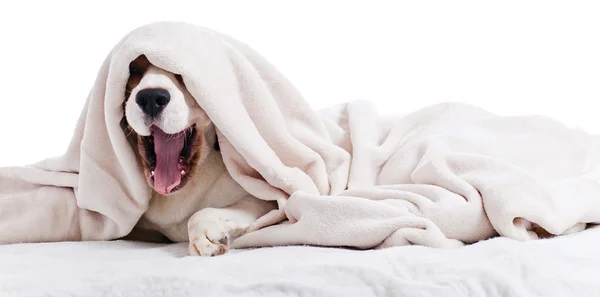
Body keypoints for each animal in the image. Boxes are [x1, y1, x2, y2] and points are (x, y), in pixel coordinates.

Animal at [122, 55, 276, 254]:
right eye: (134, 70)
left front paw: (204, 236)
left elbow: (201, 213)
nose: (151, 97)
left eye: (182, 73)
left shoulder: (261, 200)